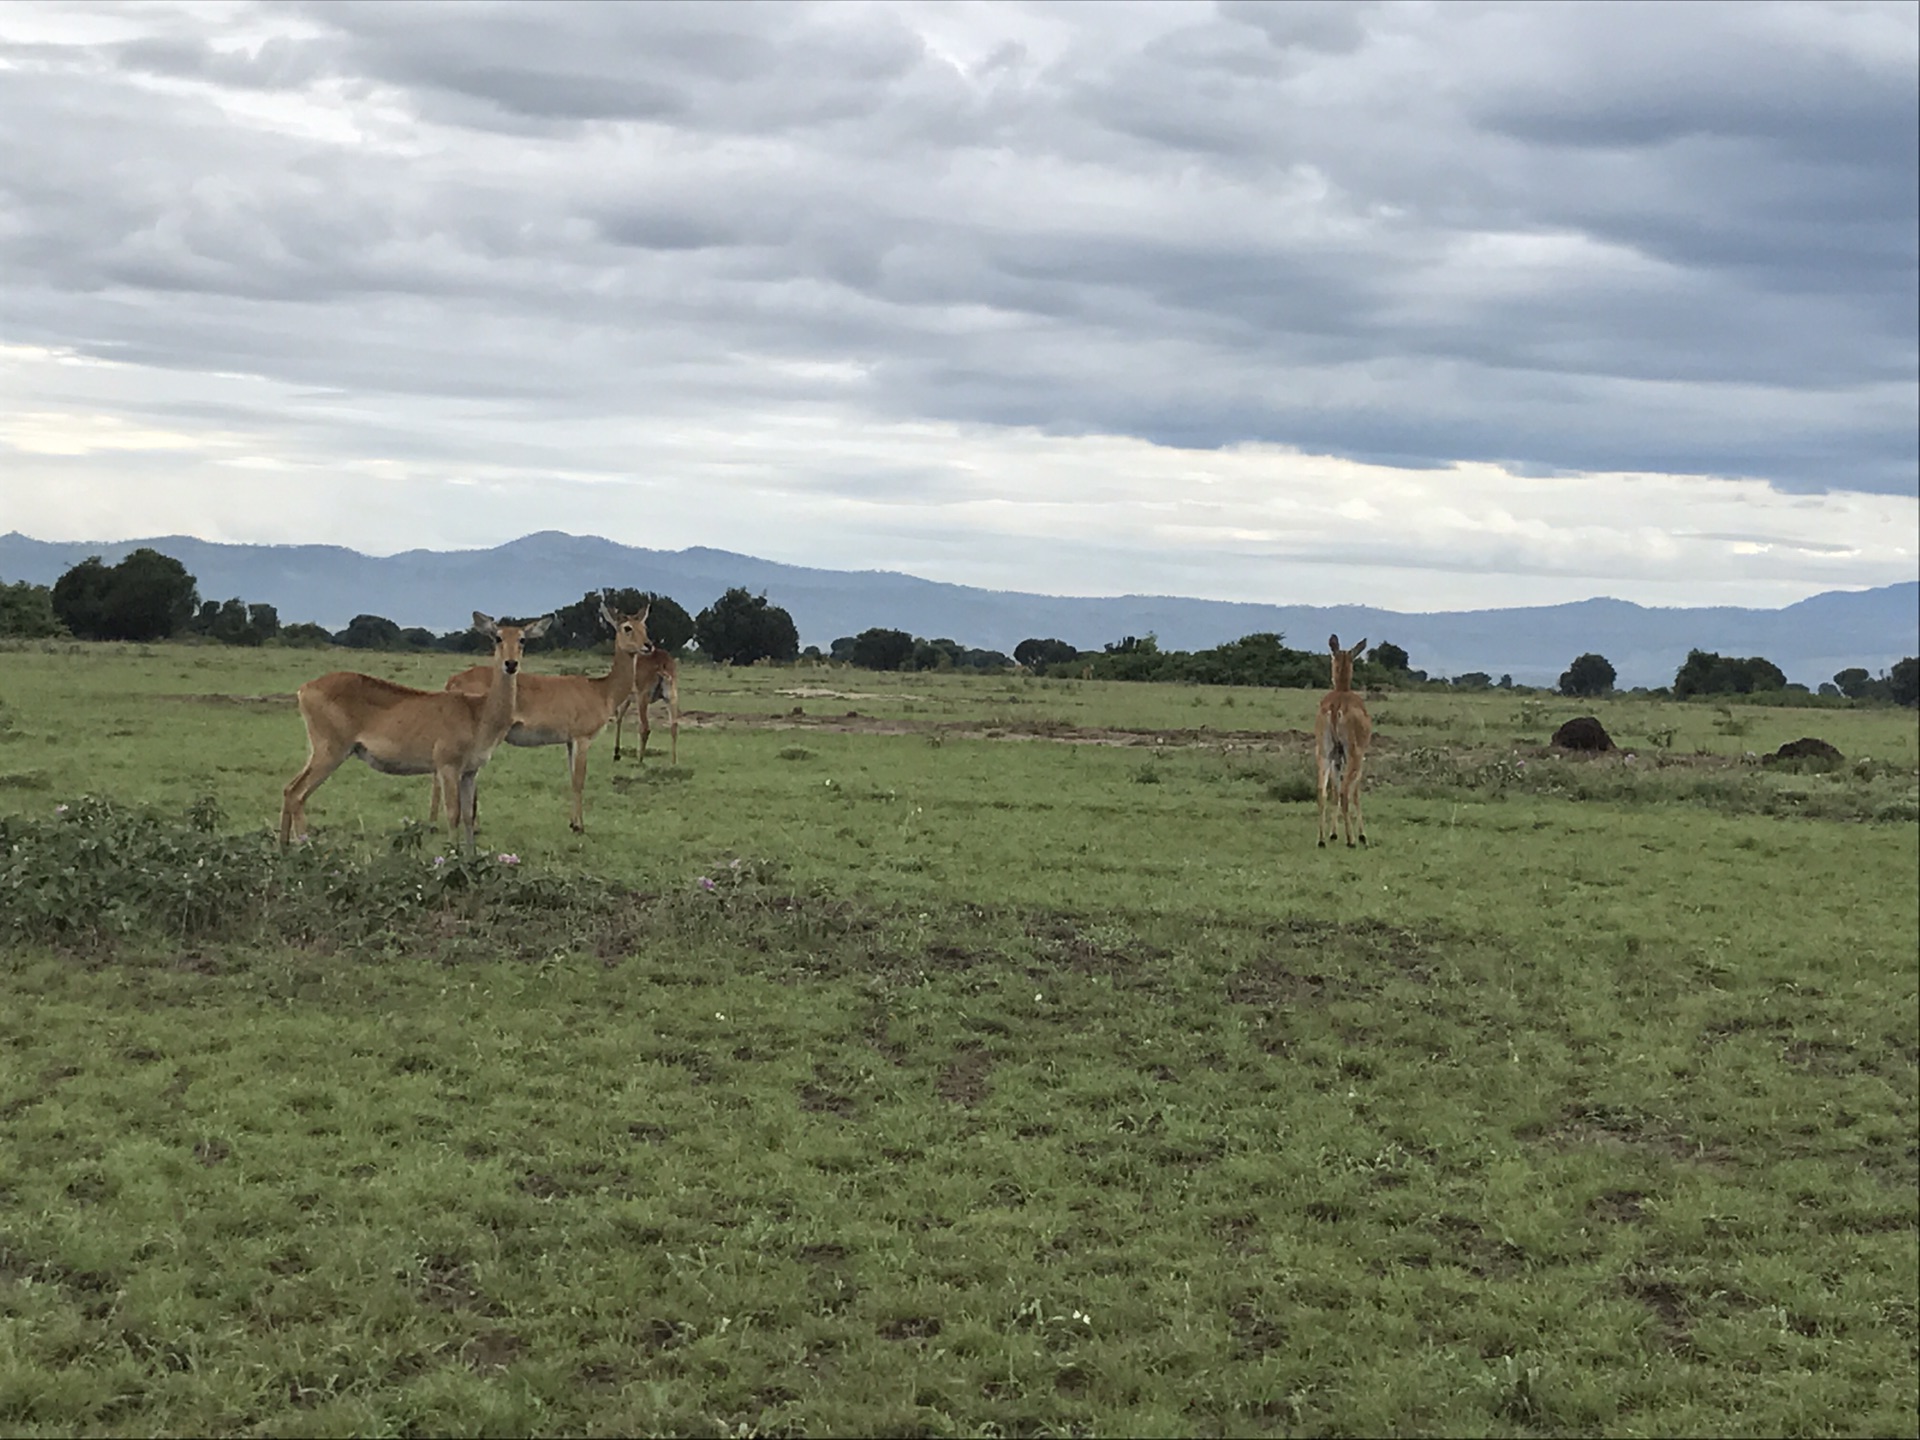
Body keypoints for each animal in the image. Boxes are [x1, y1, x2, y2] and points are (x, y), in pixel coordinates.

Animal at [278, 610, 552, 856]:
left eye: (522, 639)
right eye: (497, 637)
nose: (511, 664)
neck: (478, 713)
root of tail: (304, 689)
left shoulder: (470, 772)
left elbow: (468, 815)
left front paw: (471, 858)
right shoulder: (447, 767)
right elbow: (452, 814)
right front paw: (452, 857)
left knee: (289, 789)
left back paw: (283, 849)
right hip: (330, 752)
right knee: (298, 793)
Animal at [432, 591, 648, 833]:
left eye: (645, 626)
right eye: (627, 627)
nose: (648, 645)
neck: (602, 690)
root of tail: (453, 680)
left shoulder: (570, 742)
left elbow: (572, 778)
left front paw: (572, 822)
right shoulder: (582, 739)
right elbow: (579, 781)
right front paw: (579, 826)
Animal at [1313, 629, 1374, 844]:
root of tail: (1335, 706)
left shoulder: (1337, 757)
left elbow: (1333, 791)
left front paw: (1333, 833)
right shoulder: (1357, 756)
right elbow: (1355, 791)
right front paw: (1362, 835)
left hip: (1324, 752)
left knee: (1322, 791)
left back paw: (1322, 839)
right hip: (1353, 754)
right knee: (1346, 791)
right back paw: (1352, 840)